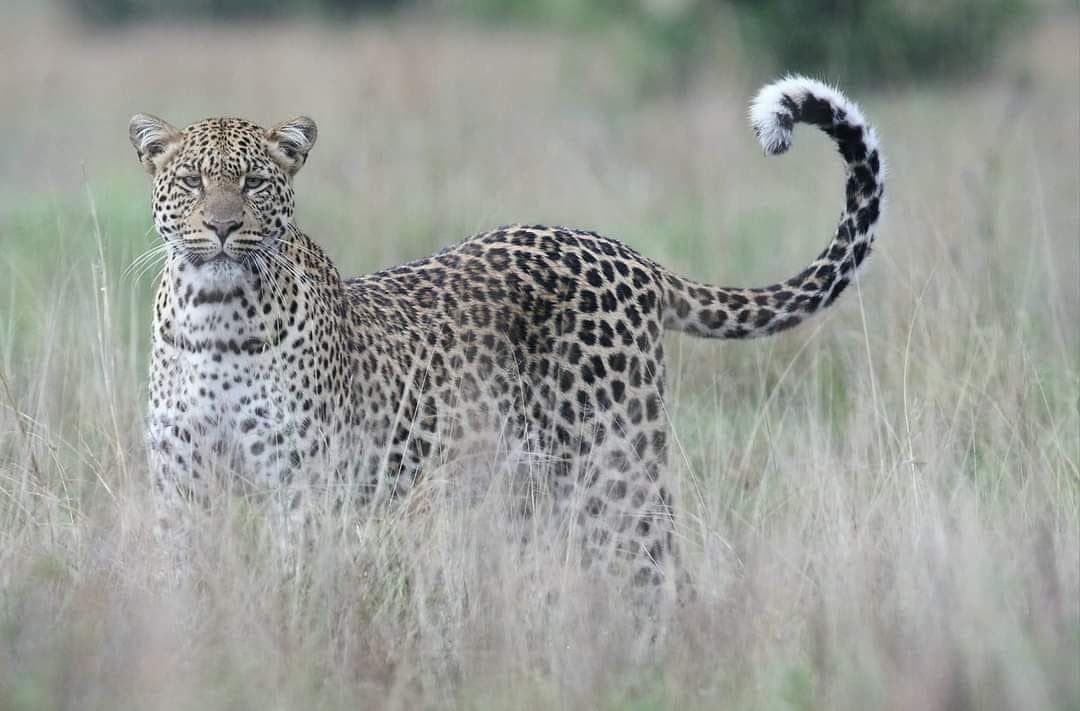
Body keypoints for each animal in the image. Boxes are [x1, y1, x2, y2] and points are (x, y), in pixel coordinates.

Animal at [130, 76, 881, 587]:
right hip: (528, 490)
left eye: (255, 183)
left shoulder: (303, 486)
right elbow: (180, 580)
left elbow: (299, 582)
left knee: (656, 571)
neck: (215, 316)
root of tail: (626, 253)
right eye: (191, 180)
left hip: (618, 466)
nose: (222, 226)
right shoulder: (179, 485)